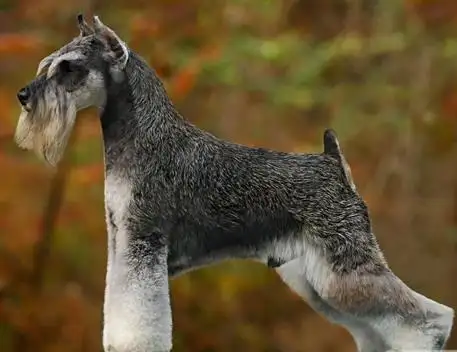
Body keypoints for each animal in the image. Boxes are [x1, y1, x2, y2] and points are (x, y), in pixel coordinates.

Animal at [14, 14, 452, 352]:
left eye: (69, 67)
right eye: (50, 62)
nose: (23, 95)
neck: (146, 138)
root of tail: (334, 164)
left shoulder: (143, 242)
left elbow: (140, 318)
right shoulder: (122, 240)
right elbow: (118, 305)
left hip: (344, 268)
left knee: (430, 317)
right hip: (317, 279)